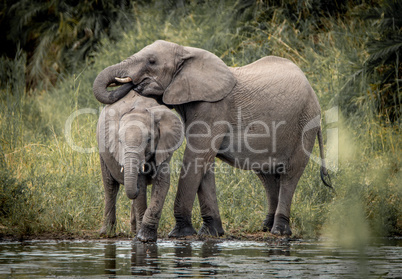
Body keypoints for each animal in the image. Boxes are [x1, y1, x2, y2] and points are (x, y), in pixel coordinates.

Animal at [96, 90, 185, 243]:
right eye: (120, 141)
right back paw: (107, 234)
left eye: (149, 140)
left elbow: (162, 182)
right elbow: (141, 187)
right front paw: (141, 238)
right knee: (110, 186)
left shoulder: (164, 146)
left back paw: (132, 231)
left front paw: (144, 237)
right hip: (102, 151)